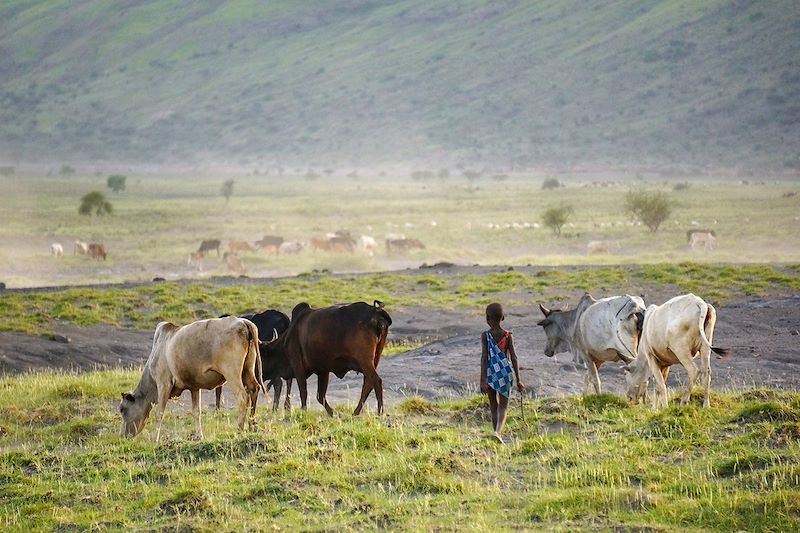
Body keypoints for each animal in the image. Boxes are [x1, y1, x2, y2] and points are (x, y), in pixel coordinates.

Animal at [119, 318, 264, 438]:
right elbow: (196, 412)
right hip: (247, 370)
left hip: (231, 372)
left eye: (122, 409)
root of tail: (243, 321)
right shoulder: (194, 387)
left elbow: (160, 413)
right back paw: (252, 426)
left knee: (243, 397)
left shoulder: (164, 384)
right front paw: (199, 436)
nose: (123, 435)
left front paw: (154, 438)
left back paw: (239, 429)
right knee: (254, 389)